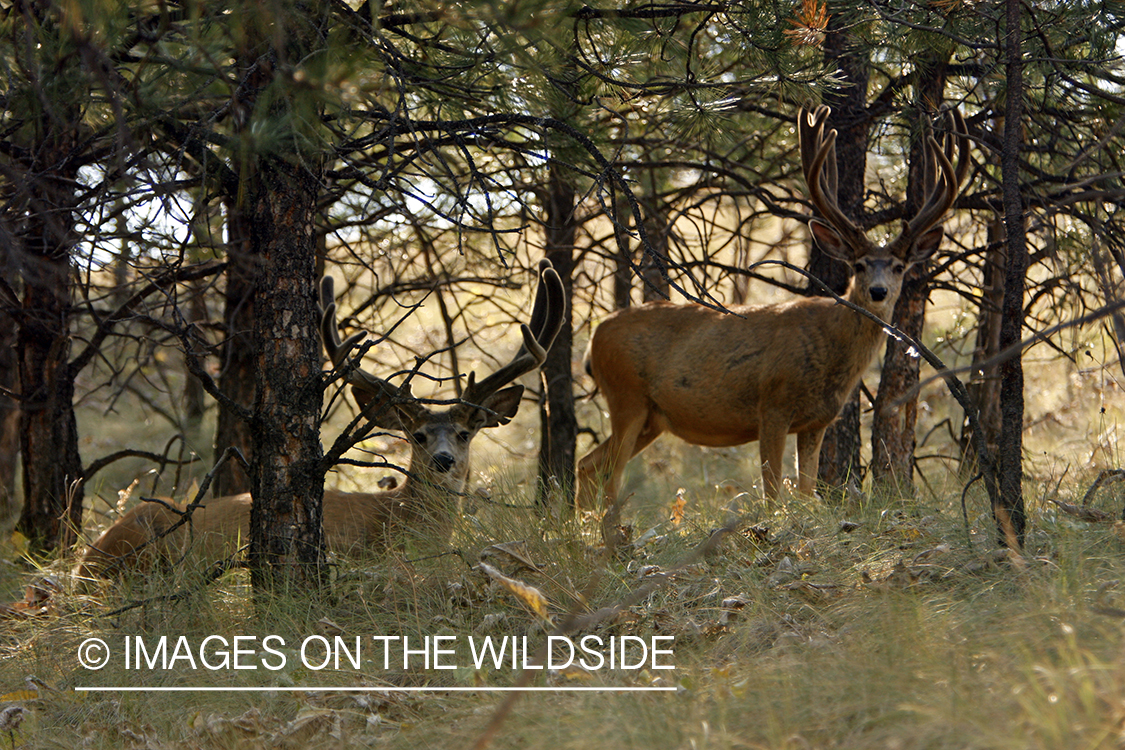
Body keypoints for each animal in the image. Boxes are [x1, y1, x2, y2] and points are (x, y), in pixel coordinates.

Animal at [574, 105, 970, 510]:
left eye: (899, 267)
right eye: (858, 265)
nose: (878, 291)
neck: (832, 350)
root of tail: (593, 342)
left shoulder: (816, 422)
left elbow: (807, 489)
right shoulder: (772, 406)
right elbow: (773, 493)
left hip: (652, 417)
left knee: (587, 464)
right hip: (627, 396)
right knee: (608, 474)